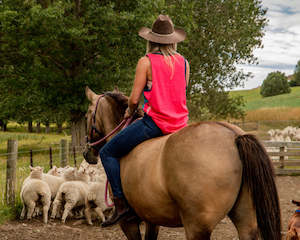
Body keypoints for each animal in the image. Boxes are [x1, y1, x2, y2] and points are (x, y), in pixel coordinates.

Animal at [82, 86, 282, 240]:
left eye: (86, 115)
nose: (87, 153)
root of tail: (233, 135)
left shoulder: (128, 222)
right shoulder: (152, 219)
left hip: (197, 228)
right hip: (245, 220)